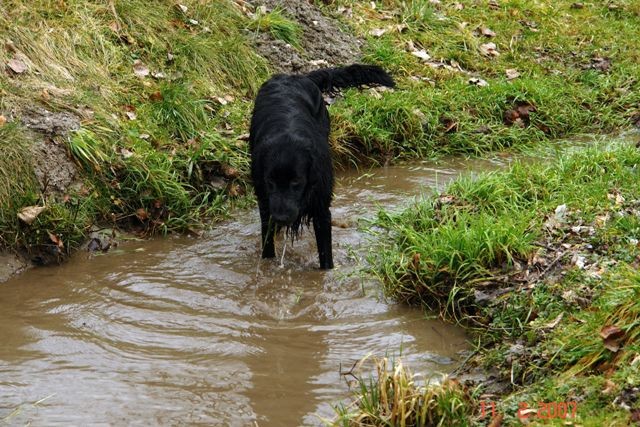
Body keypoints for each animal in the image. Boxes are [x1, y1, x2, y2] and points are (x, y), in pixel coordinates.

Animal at [250, 64, 396, 270]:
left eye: (297, 181)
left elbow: (326, 255)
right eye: (270, 181)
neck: (287, 134)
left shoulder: (321, 208)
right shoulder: (265, 203)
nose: (281, 218)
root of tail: (297, 76)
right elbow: (267, 245)